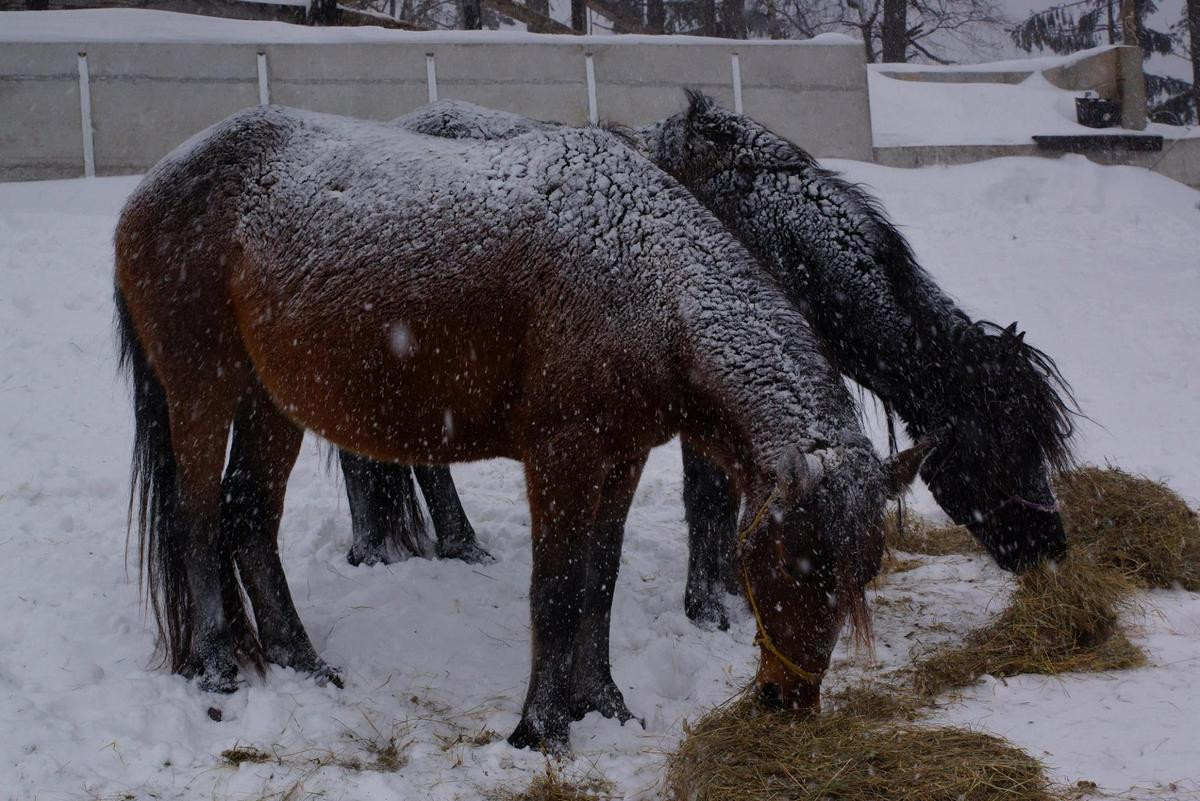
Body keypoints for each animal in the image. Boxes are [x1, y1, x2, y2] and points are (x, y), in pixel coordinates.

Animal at [119, 104, 926, 753]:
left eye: (862, 572)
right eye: (793, 562)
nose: (788, 700)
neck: (640, 274)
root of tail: (152, 185)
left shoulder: (621, 458)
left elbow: (598, 584)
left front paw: (603, 704)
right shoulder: (560, 457)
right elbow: (556, 590)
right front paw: (541, 729)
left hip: (270, 406)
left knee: (249, 516)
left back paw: (301, 659)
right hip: (203, 393)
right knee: (198, 517)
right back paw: (218, 667)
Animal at [333, 97, 1075, 628]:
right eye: (1006, 441)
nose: (1052, 547)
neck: (761, 228)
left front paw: (734, 588)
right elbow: (710, 498)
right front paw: (710, 606)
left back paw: (453, 543)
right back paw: (380, 549)